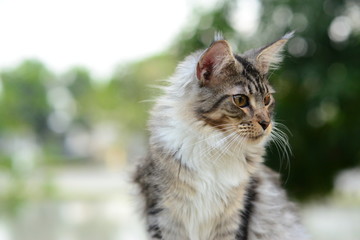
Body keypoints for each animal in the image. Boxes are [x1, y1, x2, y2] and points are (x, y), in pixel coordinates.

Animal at [134, 32, 310, 240]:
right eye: (240, 100)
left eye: (267, 100)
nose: (266, 123)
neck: (215, 144)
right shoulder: (163, 215)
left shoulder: (235, 216)